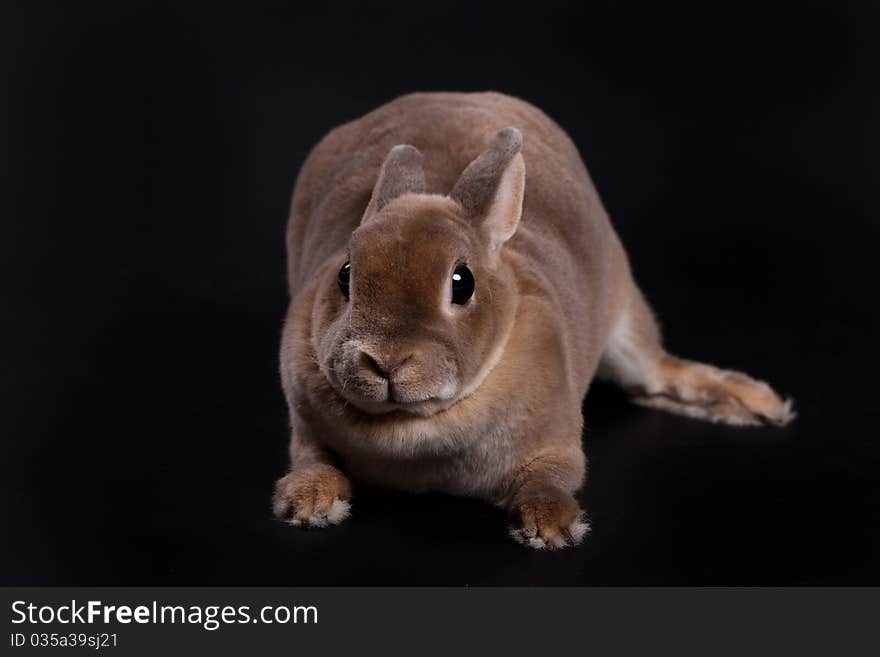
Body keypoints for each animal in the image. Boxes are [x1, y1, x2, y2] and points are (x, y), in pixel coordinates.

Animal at [272, 89, 796, 544]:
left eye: (461, 283)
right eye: (345, 274)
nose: (385, 361)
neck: (414, 424)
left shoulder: (556, 443)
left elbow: (549, 479)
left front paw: (550, 527)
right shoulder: (307, 432)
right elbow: (313, 461)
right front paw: (306, 502)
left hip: (626, 317)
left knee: (652, 374)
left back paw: (757, 404)